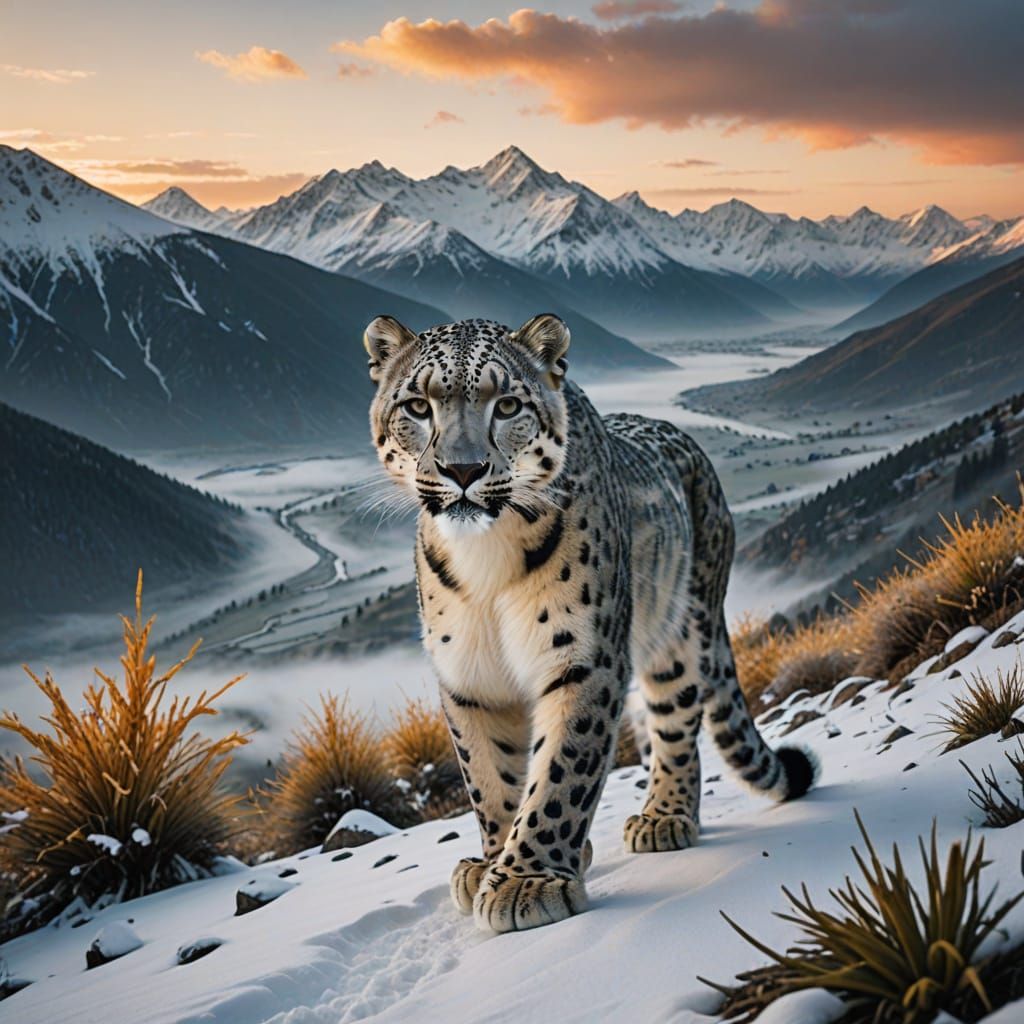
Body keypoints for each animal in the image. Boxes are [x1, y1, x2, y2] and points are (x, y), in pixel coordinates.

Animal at [363, 312, 818, 934]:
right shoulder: (468, 677)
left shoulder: (583, 656)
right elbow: (490, 778)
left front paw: (528, 880)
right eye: (417, 406)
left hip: (678, 634)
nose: (462, 469)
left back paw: (665, 815)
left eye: (507, 405)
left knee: (676, 726)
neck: (486, 561)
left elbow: (562, 769)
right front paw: (493, 862)